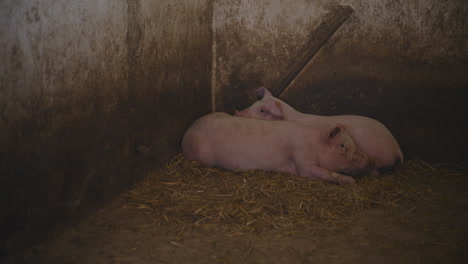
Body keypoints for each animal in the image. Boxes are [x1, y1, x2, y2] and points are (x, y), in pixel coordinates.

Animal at [180, 112, 376, 185]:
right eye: (342, 145)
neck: (315, 144)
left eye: (353, 142)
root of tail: (187, 132)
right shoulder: (301, 159)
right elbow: (321, 172)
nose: (370, 160)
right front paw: (350, 181)